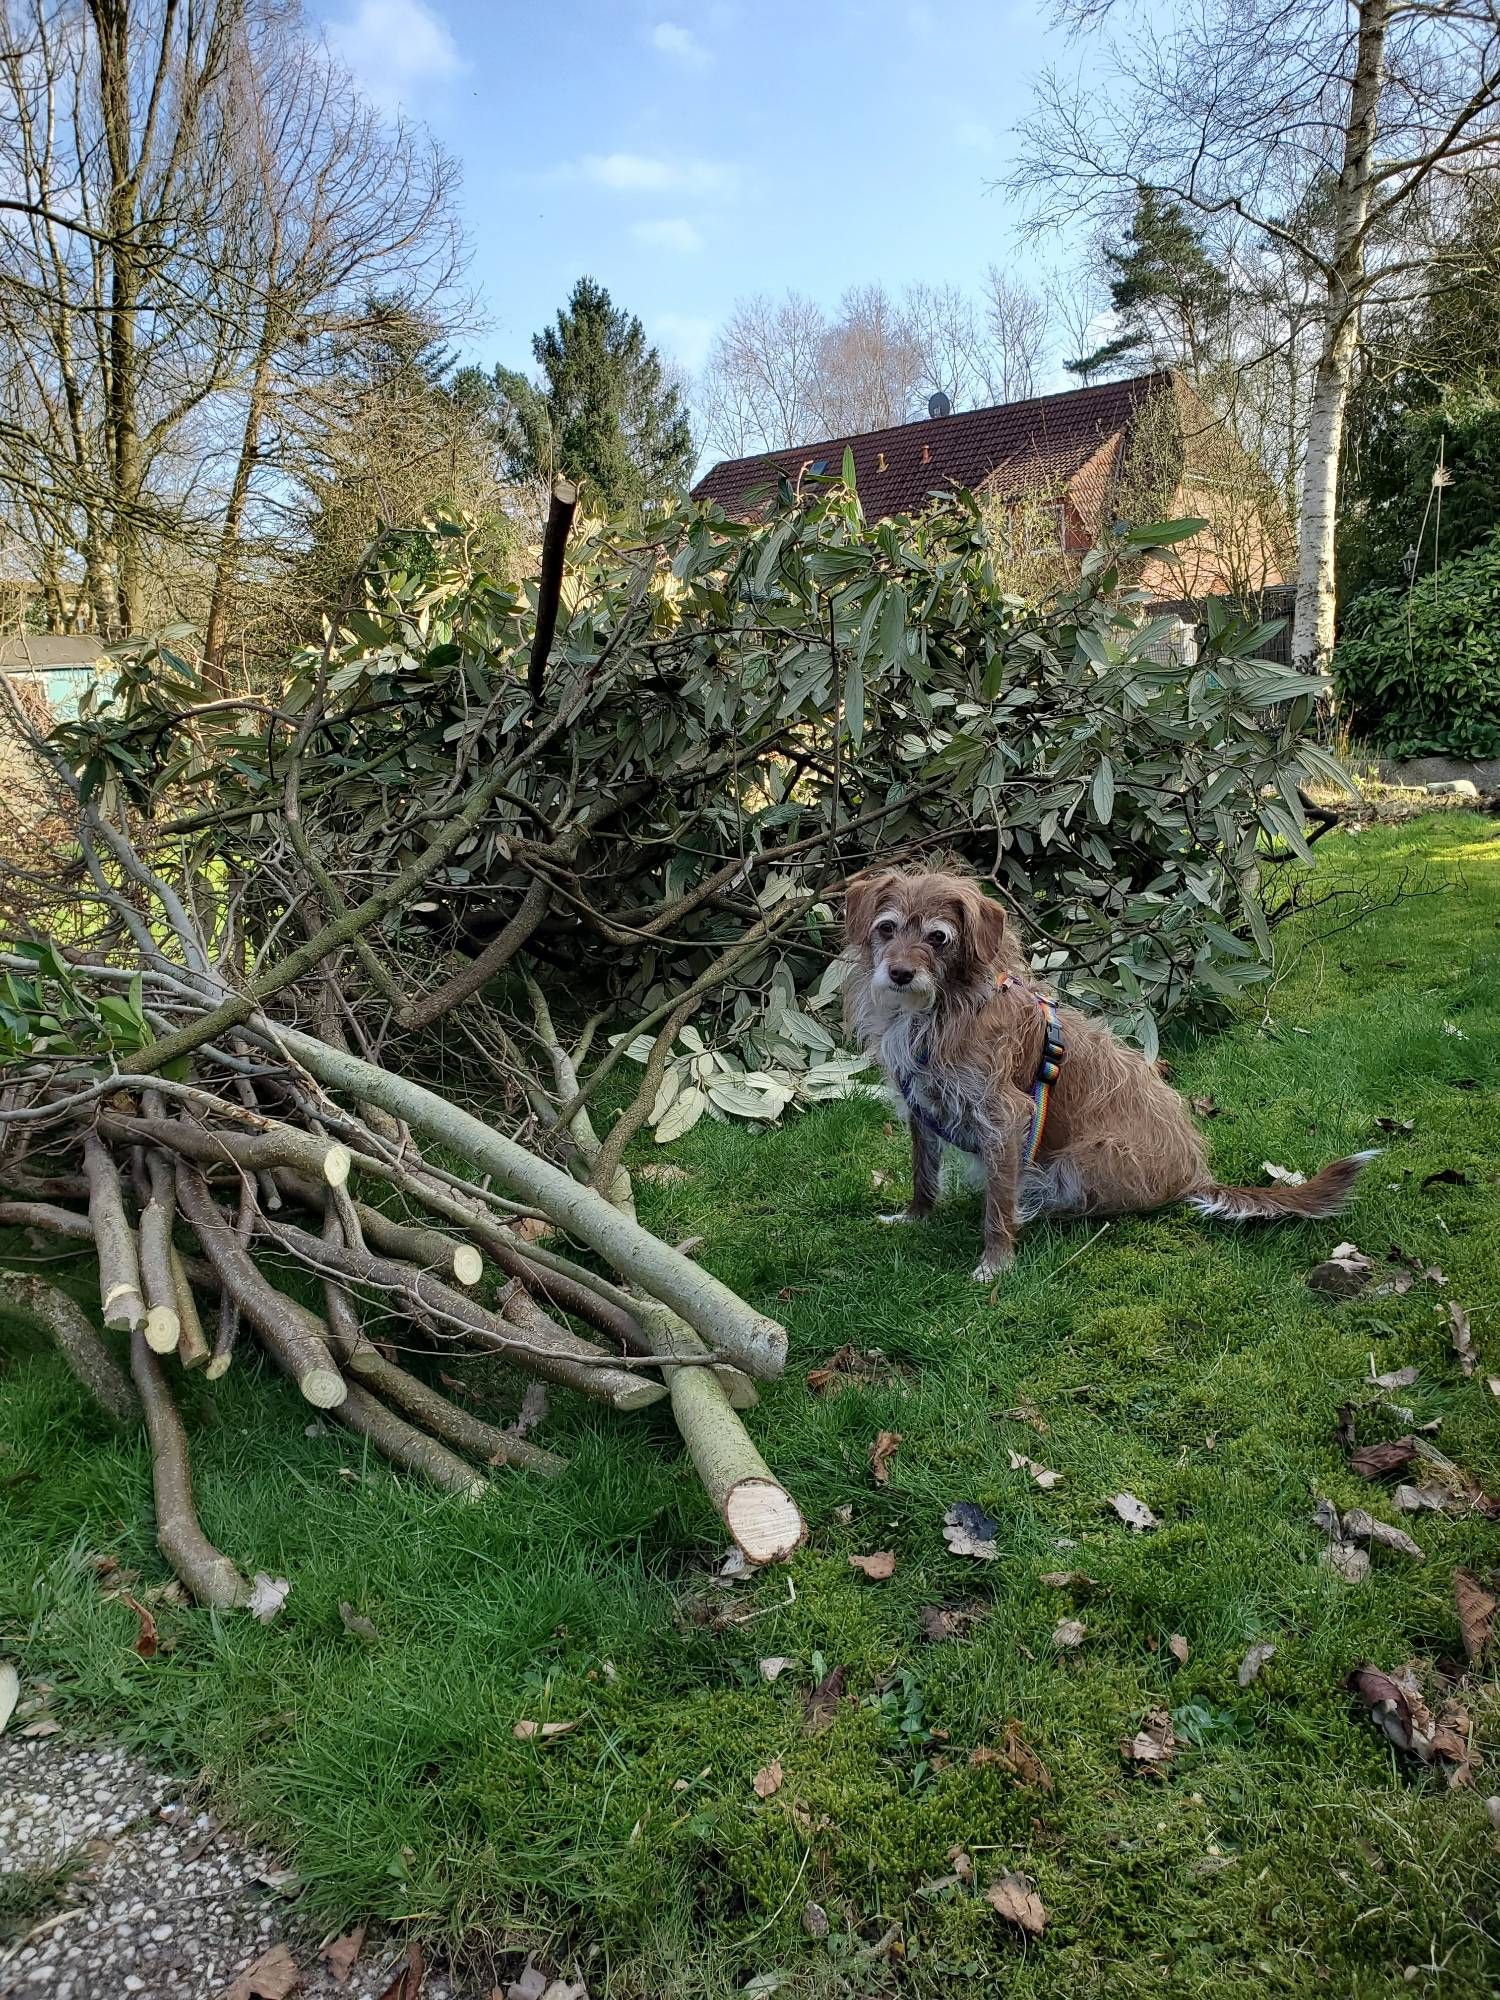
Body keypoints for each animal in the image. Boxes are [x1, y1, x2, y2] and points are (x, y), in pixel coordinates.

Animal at [848, 864, 1376, 1280]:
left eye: (938, 938)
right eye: (887, 929)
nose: (899, 974)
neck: (940, 1010)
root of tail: (1194, 1176)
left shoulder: (1004, 1116)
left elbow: (998, 1203)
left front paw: (995, 1263)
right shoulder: (920, 1109)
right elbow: (924, 1173)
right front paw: (915, 1217)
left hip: (1086, 1157)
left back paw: (1036, 1209)